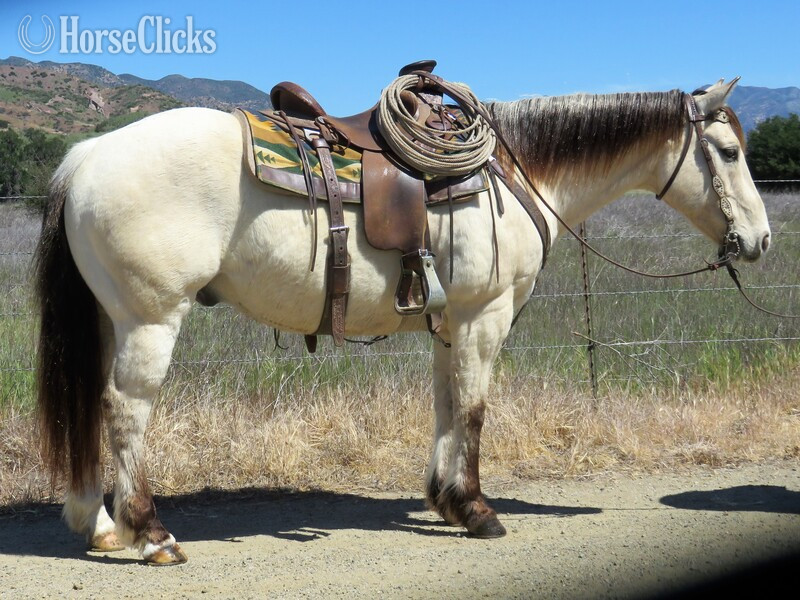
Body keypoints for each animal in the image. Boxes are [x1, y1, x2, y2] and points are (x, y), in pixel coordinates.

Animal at [34, 78, 770, 564]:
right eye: (730, 152)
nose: (760, 241)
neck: (514, 174)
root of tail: (87, 156)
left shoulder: (454, 324)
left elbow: (446, 405)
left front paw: (445, 499)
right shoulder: (484, 317)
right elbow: (473, 409)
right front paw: (478, 510)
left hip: (110, 319)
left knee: (92, 405)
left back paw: (100, 525)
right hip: (150, 318)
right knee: (125, 410)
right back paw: (151, 534)